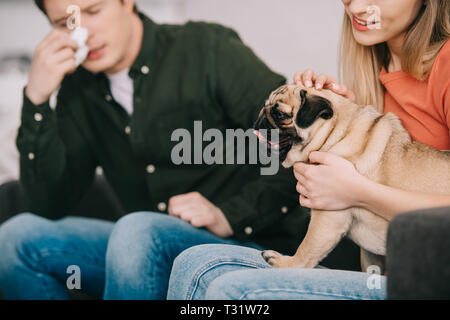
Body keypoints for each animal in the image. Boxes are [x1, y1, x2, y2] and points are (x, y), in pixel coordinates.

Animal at [253, 84, 450, 272]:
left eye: (280, 114)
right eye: (264, 106)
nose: (261, 118)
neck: (335, 135)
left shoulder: (327, 218)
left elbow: (306, 249)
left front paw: (285, 263)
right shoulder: (370, 253)